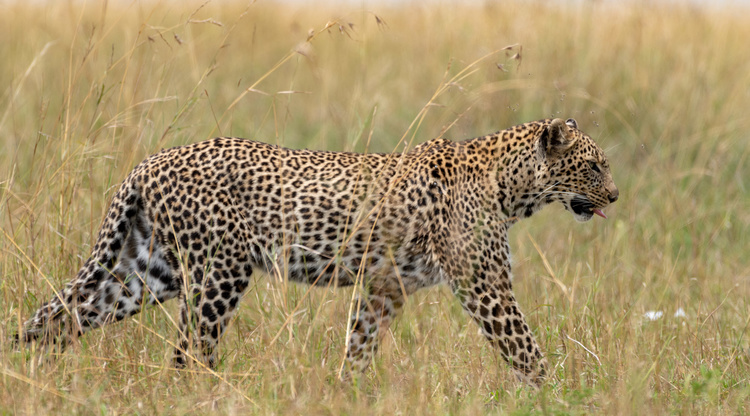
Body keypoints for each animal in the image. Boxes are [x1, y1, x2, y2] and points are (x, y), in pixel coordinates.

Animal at [14, 117, 620, 386]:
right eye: (594, 166)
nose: (615, 196)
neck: (511, 187)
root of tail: (147, 163)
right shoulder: (484, 285)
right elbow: (526, 350)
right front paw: (559, 395)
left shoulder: (384, 288)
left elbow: (359, 346)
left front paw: (346, 392)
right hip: (219, 272)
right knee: (189, 352)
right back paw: (205, 393)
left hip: (145, 270)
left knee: (59, 316)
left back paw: (26, 373)